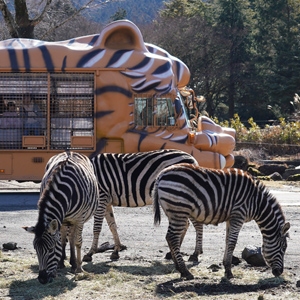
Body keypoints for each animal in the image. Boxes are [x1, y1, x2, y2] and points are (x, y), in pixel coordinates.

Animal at [23, 152, 98, 284]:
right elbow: (61, 239)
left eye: (51, 249)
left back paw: (73, 264)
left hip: (74, 219)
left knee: (72, 238)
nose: (42, 279)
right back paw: (63, 262)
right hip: (65, 221)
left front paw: (79, 269)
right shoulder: (60, 218)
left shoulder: (80, 218)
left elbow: (78, 242)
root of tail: (70, 152)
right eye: (35, 250)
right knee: (65, 237)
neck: (66, 191)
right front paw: (58, 265)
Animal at [154, 163, 290, 280]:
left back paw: (179, 269)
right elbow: (232, 242)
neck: (257, 202)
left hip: (173, 212)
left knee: (170, 237)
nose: (280, 272)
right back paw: (185, 272)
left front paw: (226, 267)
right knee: (172, 237)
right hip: (179, 209)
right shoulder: (238, 215)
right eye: (283, 248)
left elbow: (227, 240)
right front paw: (229, 272)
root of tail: (161, 174)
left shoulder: (231, 218)